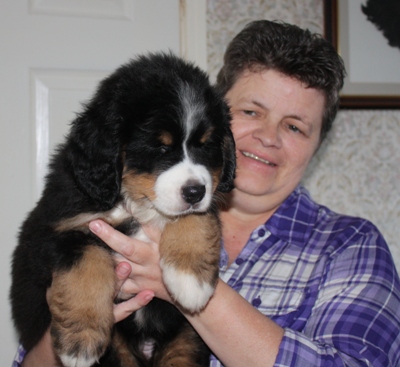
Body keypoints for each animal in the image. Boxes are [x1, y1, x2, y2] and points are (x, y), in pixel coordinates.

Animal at [9, 52, 236, 367]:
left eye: (206, 145)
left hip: (186, 341)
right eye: (160, 148)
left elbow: (195, 218)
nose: (194, 192)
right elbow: (86, 268)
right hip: (118, 349)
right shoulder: (61, 229)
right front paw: (79, 344)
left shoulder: (207, 198)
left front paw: (190, 281)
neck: (132, 201)